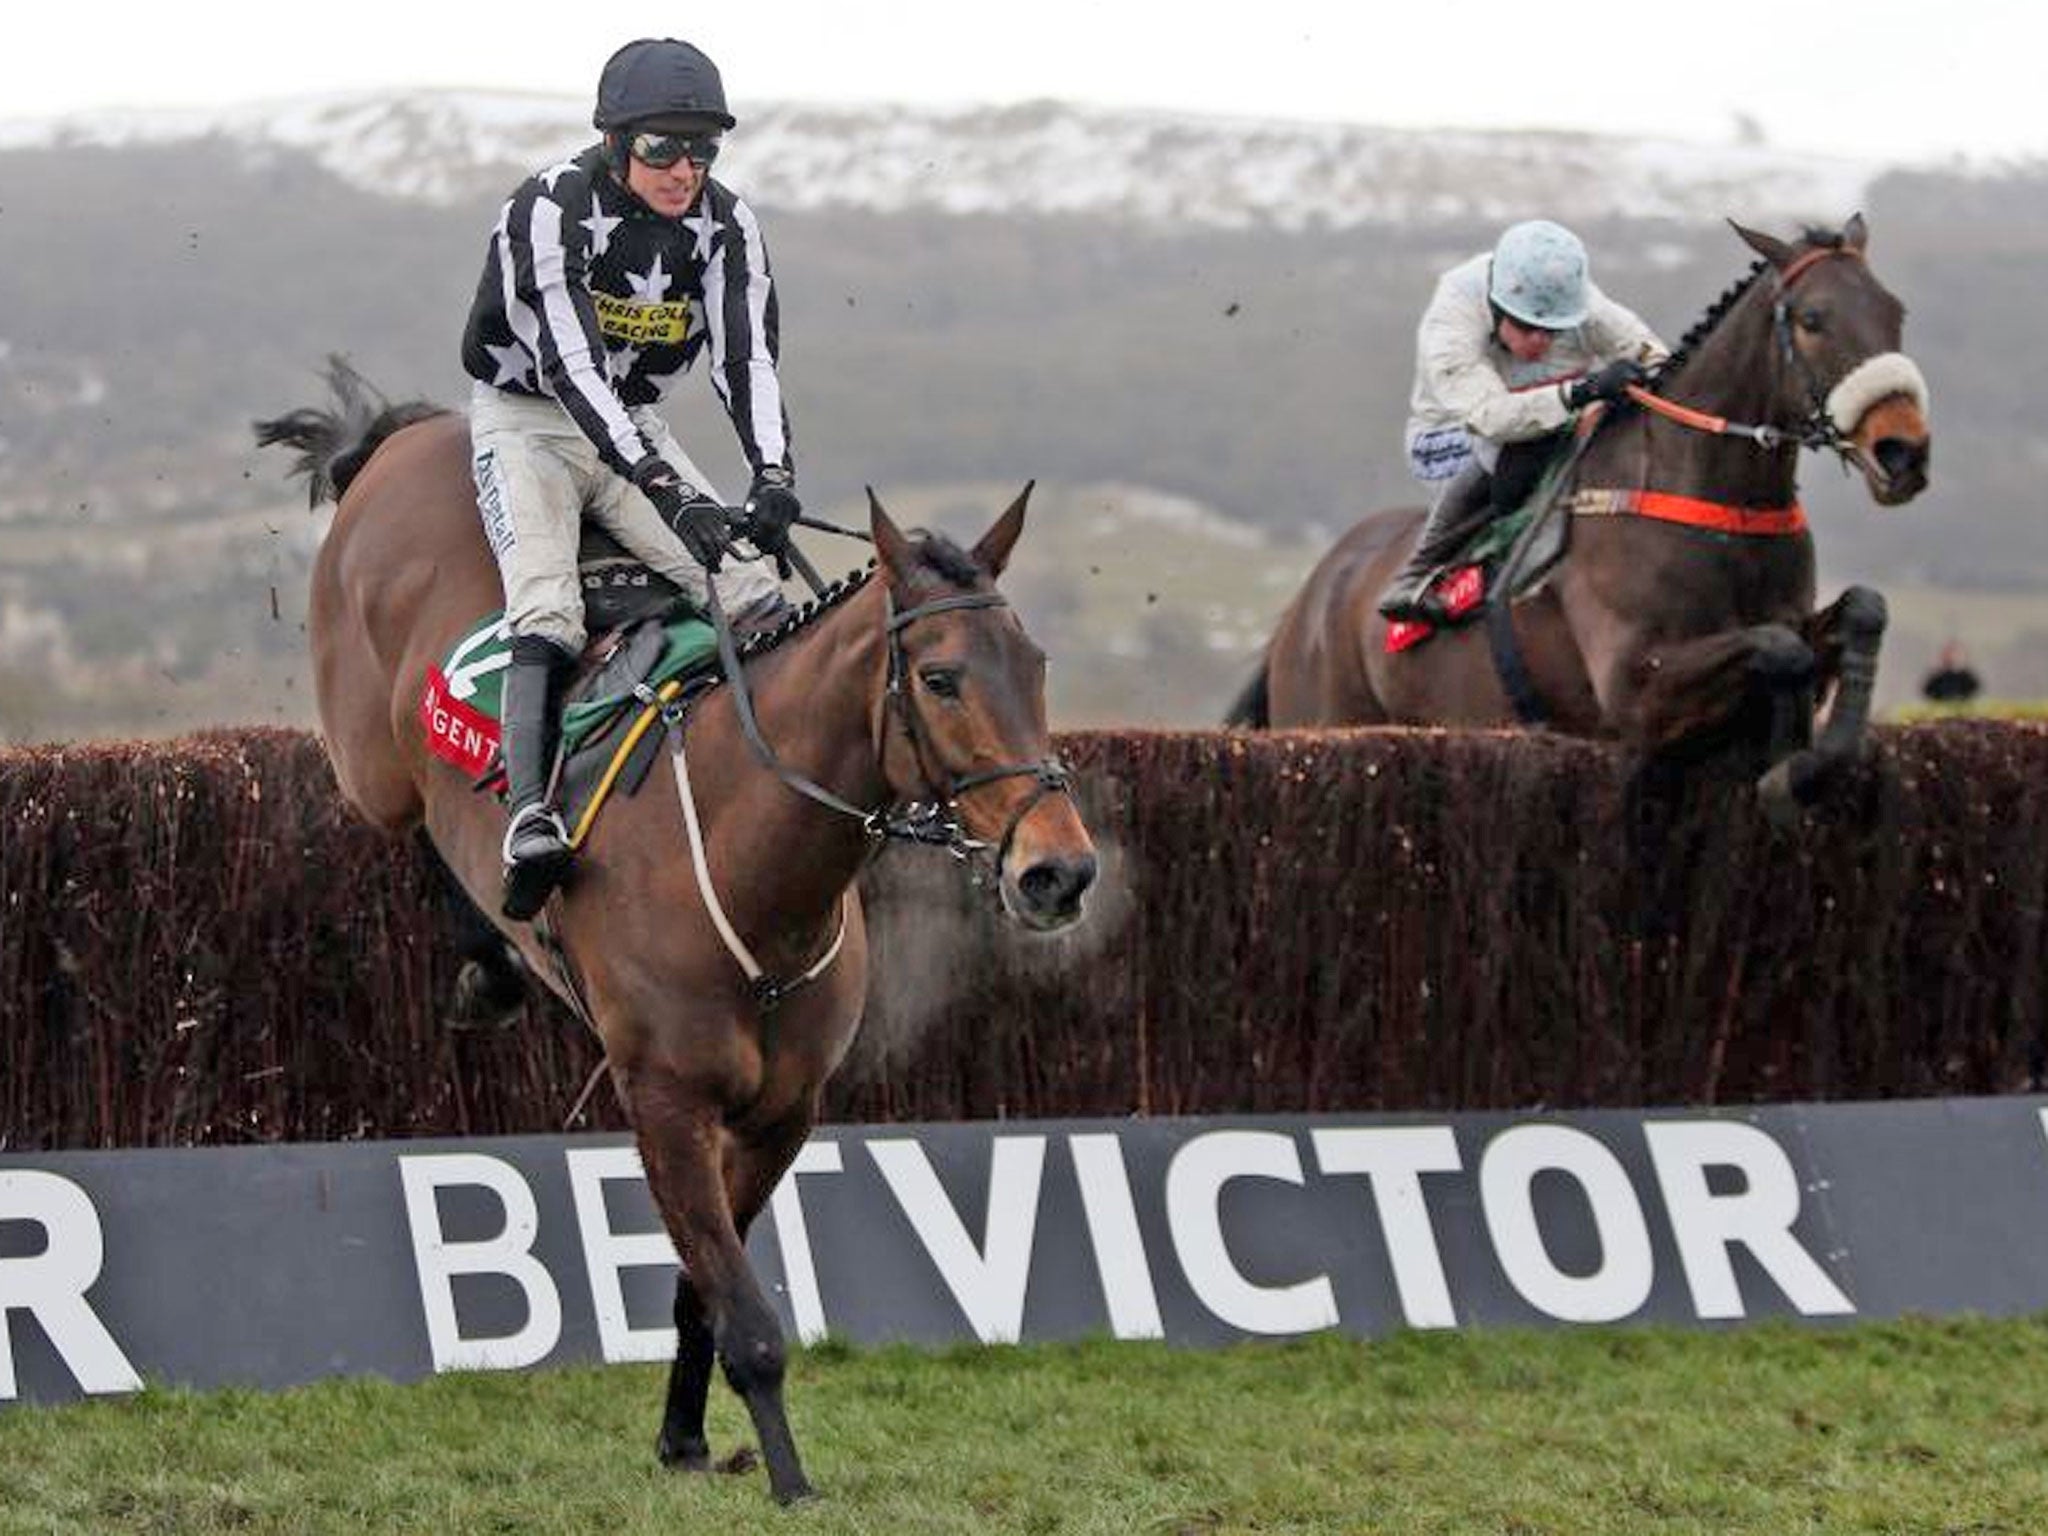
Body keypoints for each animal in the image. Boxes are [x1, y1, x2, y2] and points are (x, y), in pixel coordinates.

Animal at [262, 370, 1097, 1507]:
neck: (753, 884)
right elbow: (745, 1314)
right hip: (371, 756)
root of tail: (397, 441)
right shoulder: (663, 1102)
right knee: (421, 809)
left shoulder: (781, 1113)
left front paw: (686, 1438)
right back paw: (494, 938)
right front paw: (787, 1480)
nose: (1059, 870)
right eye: (940, 680)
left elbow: (705, 1287)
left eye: (1037, 664)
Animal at [1228, 217, 1933, 819]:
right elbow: (1781, 650)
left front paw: (1813, 755)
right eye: (1813, 319)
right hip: (1322, 719)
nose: (1903, 452)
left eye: (1896, 311)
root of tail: (1308, 599)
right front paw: (1788, 766)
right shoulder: (1634, 690)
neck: (1715, 503)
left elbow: (1862, 611)